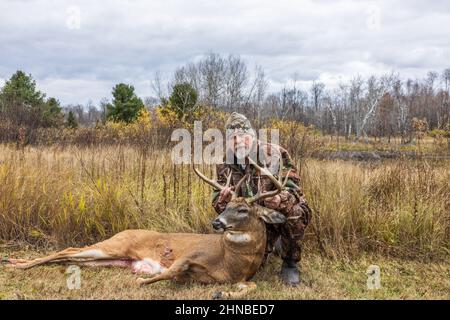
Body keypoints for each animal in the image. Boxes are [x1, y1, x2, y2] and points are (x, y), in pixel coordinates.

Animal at [6, 159, 288, 298]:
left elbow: (250, 287)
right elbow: (171, 271)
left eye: (243, 210)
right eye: (226, 205)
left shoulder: (243, 277)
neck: (230, 260)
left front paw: (223, 293)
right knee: (68, 249)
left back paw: (14, 261)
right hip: (113, 246)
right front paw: (142, 280)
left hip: (108, 259)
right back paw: (15, 264)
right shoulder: (190, 254)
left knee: (71, 256)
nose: (216, 222)